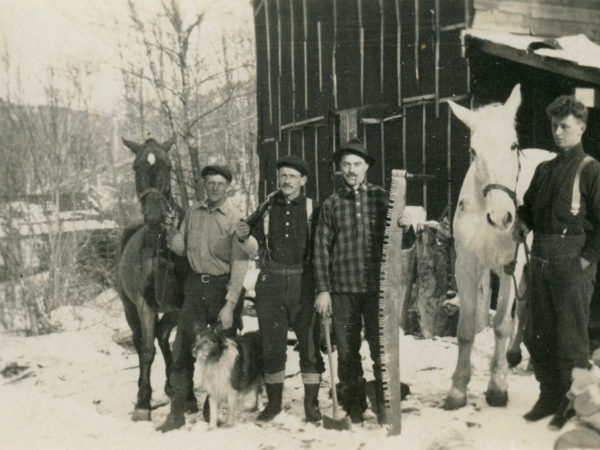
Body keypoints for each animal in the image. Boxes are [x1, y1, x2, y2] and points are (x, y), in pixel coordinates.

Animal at [442, 85, 556, 412]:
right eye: (473, 151)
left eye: (513, 145)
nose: (502, 217)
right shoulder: (467, 266)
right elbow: (466, 329)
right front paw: (457, 390)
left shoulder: (510, 265)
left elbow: (502, 324)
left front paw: (497, 388)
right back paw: (516, 354)